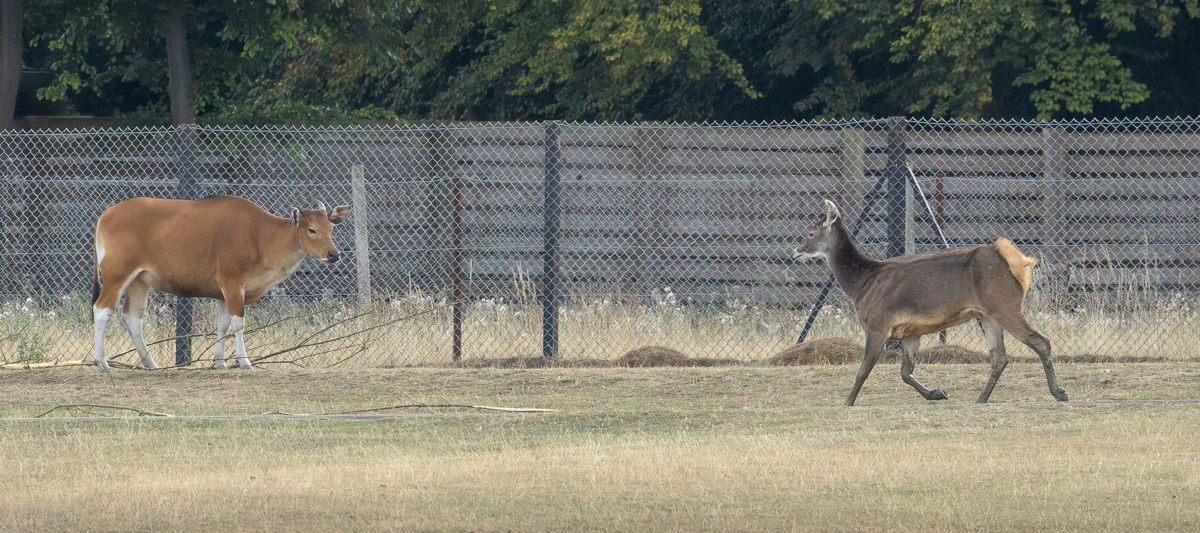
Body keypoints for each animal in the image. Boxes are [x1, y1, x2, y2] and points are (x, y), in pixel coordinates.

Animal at [91, 195, 351, 372]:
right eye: (311, 230)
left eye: (331, 227)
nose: (334, 254)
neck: (261, 236)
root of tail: (106, 214)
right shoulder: (232, 283)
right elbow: (238, 323)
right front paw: (244, 361)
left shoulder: (226, 291)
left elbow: (223, 324)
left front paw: (220, 361)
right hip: (117, 274)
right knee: (102, 310)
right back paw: (102, 362)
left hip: (139, 280)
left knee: (132, 318)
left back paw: (151, 364)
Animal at [793, 199, 1068, 406]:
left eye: (810, 232)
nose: (795, 251)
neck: (860, 284)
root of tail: (1019, 261)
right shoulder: (910, 332)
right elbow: (906, 372)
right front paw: (937, 393)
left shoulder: (877, 323)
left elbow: (863, 370)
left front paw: (847, 403)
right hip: (988, 314)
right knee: (999, 357)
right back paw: (980, 399)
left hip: (1004, 304)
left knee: (1040, 340)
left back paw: (1059, 392)